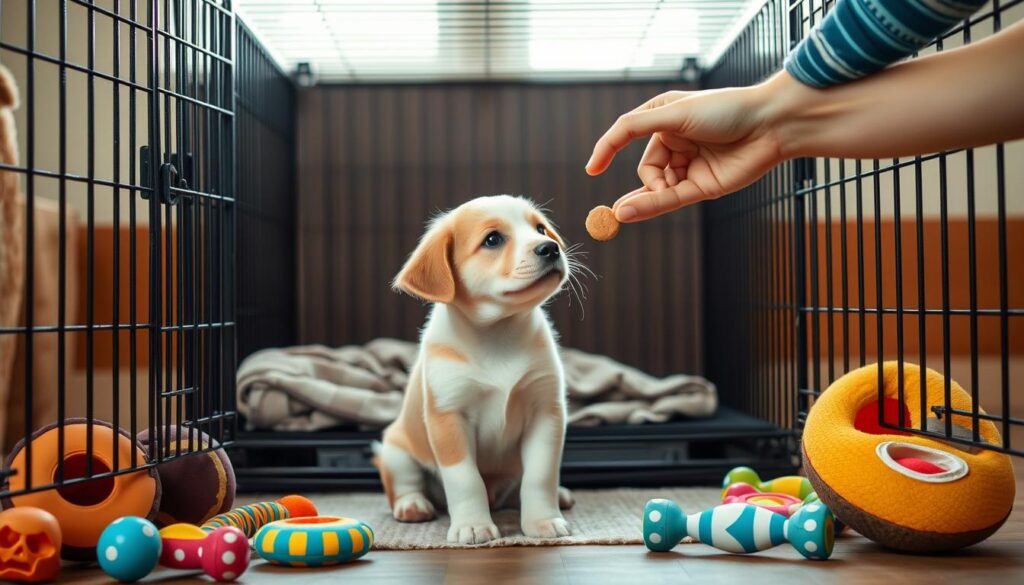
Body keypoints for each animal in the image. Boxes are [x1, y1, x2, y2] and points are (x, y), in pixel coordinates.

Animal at [380, 195, 581, 545]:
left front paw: (543, 520)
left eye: (540, 229)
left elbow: (540, 475)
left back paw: (560, 495)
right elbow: (465, 480)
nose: (550, 248)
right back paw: (413, 505)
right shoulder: (449, 417)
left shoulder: (546, 412)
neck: (497, 335)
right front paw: (473, 525)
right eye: (493, 240)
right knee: (405, 484)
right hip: (395, 450)